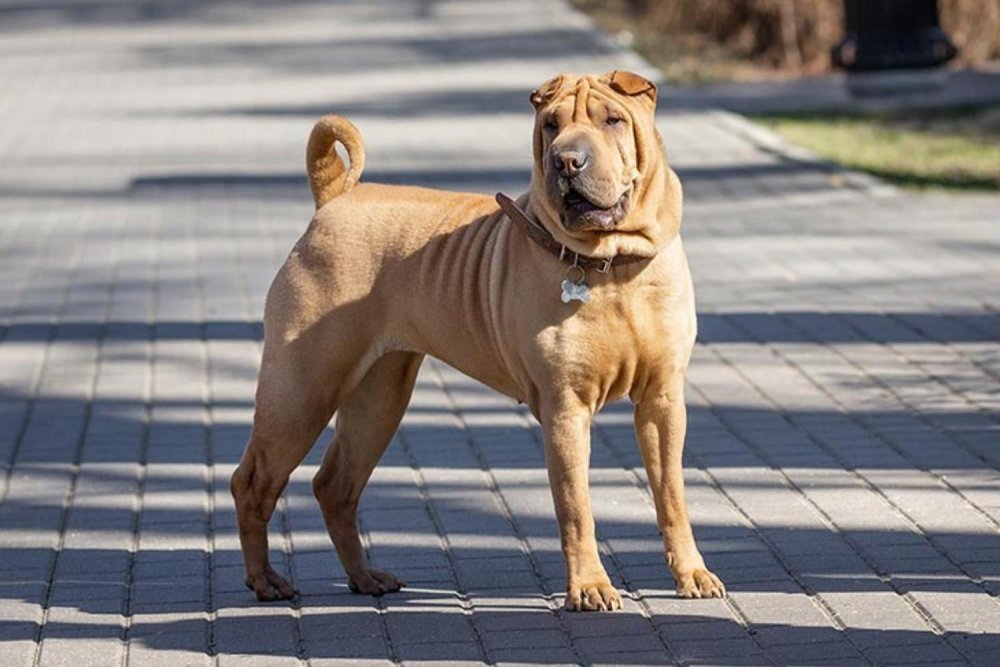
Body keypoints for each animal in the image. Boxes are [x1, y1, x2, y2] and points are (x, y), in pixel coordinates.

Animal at [230, 69, 724, 612]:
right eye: (551, 125)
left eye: (612, 120)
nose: (567, 160)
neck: (611, 266)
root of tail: (335, 196)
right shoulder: (565, 408)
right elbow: (576, 506)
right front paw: (590, 587)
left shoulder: (662, 400)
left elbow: (671, 494)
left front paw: (692, 574)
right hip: (302, 392)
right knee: (252, 483)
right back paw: (265, 581)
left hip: (379, 397)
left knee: (334, 485)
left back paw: (365, 578)